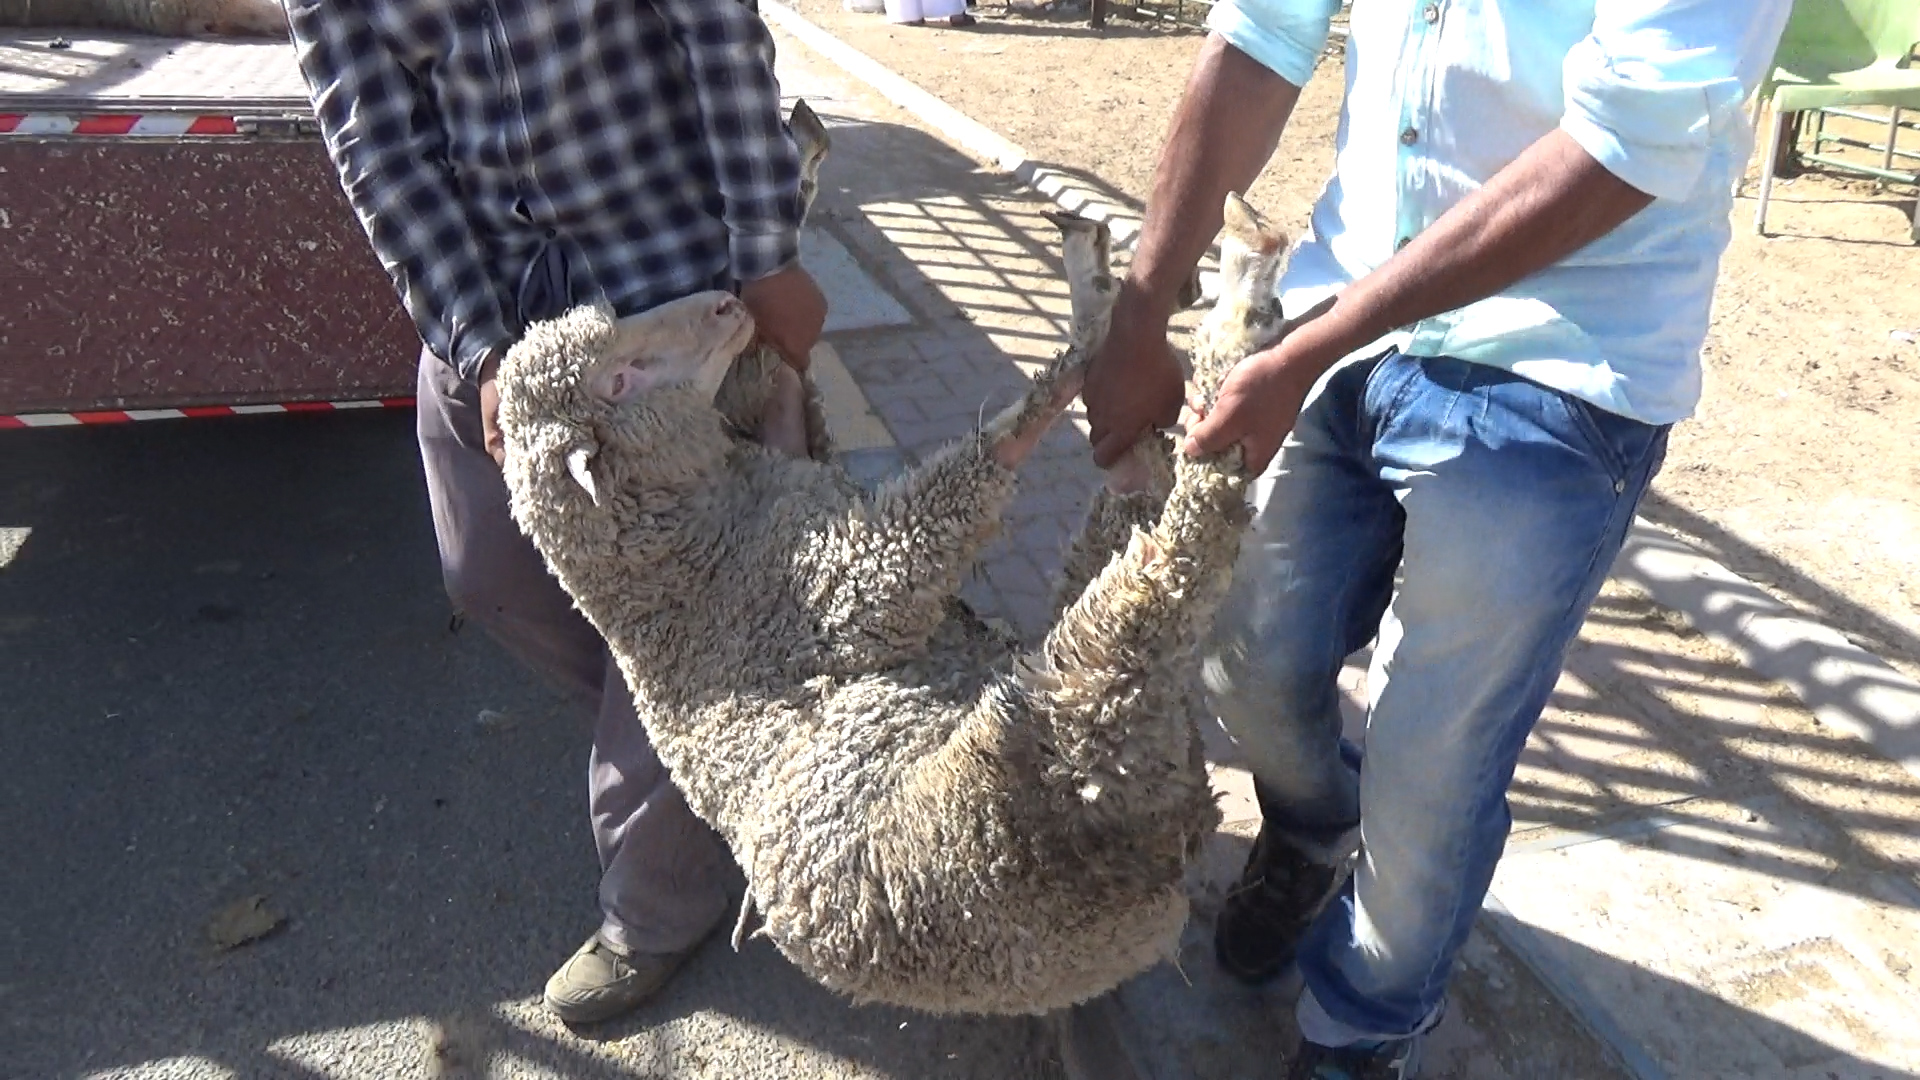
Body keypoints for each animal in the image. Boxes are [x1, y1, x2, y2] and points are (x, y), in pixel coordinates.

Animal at [495, 180, 1305, 1014]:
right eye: (619, 377)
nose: (727, 303)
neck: (677, 567)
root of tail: (1165, 860)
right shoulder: (850, 586)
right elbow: (974, 473)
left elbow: (797, 407)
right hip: (1053, 733)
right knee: (1181, 541)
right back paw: (1236, 296)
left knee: (1139, 495)